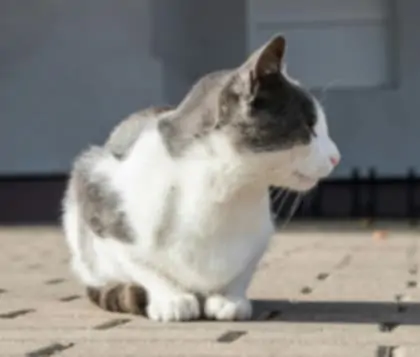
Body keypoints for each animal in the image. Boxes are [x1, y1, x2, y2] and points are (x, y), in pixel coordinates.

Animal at [62, 34, 340, 322]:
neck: (225, 191)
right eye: (309, 127)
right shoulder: (97, 195)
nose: (336, 157)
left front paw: (229, 299)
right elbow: (142, 265)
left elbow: (242, 271)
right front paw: (171, 299)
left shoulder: (261, 237)